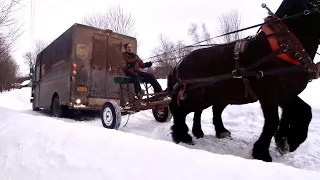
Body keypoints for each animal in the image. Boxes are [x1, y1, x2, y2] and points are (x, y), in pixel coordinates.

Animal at [168, 0, 320, 162]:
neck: (284, 46)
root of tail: (178, 65)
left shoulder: (286, 93)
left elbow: (304, 111)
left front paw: (287, 141)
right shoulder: (269, 94)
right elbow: (273, 121)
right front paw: (262, 152)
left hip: (217, 95)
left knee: (206, 111)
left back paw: (211, 131)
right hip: (194, 95)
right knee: (178, 109)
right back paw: (182, 135)